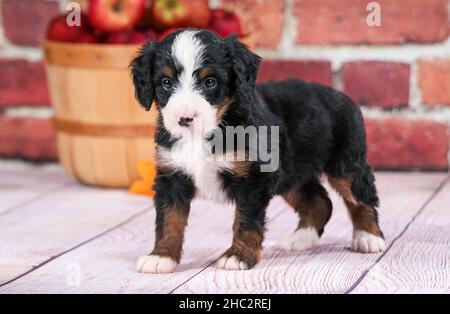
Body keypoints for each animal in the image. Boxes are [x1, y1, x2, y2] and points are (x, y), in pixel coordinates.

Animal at [129, 30, 384, 274]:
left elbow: (246, 221)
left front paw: (238, 257)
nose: (185, 119)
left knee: (362, 197)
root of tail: (342, 96)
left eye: (210, 82)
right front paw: (161, 257)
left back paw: (368, 237)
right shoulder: (171, 175)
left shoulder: (253, 179)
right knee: (319, 202)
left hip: (345, 164)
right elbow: (168, 219)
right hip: (291, 175)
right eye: (166, 82)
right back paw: (300, 239)